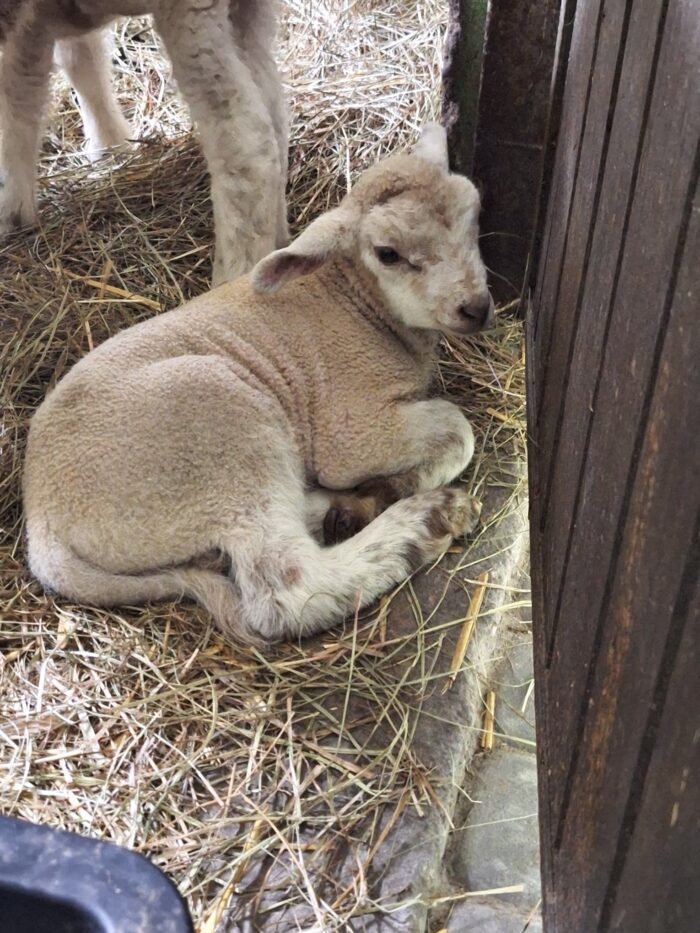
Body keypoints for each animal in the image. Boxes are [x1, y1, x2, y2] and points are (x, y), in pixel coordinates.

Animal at [0, 0, 288, 284]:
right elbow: (79, 60)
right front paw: (110, 145)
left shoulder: (23, 21)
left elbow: (17, 98)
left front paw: (11, 211)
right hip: (246, 12)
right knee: (273, 109)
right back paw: (279, 244)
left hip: (190, 12)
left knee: (247, 139)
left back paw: (232, 277)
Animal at [21, 124, 492, 644]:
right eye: (388, 254)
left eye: (473, 217)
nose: (476, 308)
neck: (355, 302)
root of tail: (44, 530)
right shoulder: (349, 431)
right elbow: (457, 429)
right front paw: (401, 484)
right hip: (221, 436)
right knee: (288, 588)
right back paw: (427, 520)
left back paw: (351, 509)